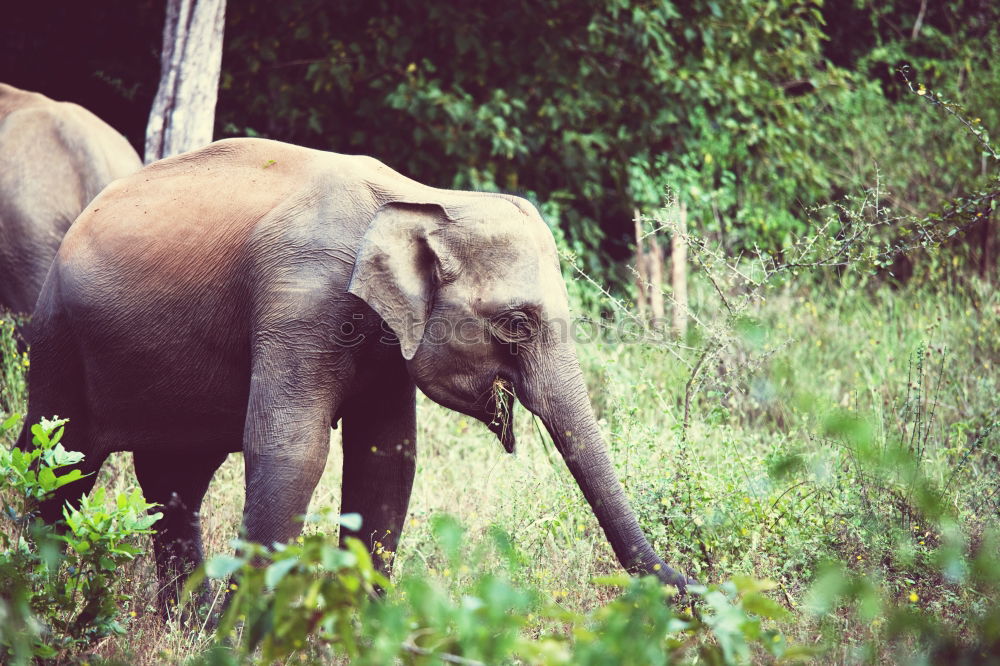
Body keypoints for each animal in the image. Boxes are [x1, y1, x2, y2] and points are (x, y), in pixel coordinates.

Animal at [21, 137, 696, 604]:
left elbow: (387, 458)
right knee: (60, 461)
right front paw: (248, 632)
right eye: (515, 324)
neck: (422, 198)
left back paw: (187, 622)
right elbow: (292, 449)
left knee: (173, 481)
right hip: (56, 334)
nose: (689, 588)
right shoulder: (300, 300)